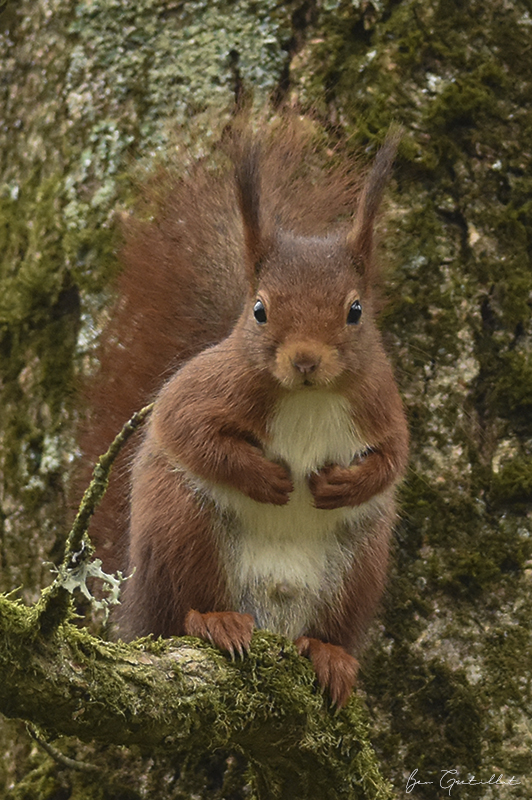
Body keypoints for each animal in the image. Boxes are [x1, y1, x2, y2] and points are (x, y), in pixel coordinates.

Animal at [82, 119, 408, 708]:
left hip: (360, 567)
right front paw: (266, 477)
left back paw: (328, 654)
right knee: (185, 609)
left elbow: (393, 460)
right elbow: (184, 429)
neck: (307, 397)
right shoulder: (201, 389)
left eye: (356, 311)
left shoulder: (383, 405)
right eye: (259, 309)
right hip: (184, 527)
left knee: (329, 628)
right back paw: (216, 622)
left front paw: (339, 485)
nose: (305, 359)